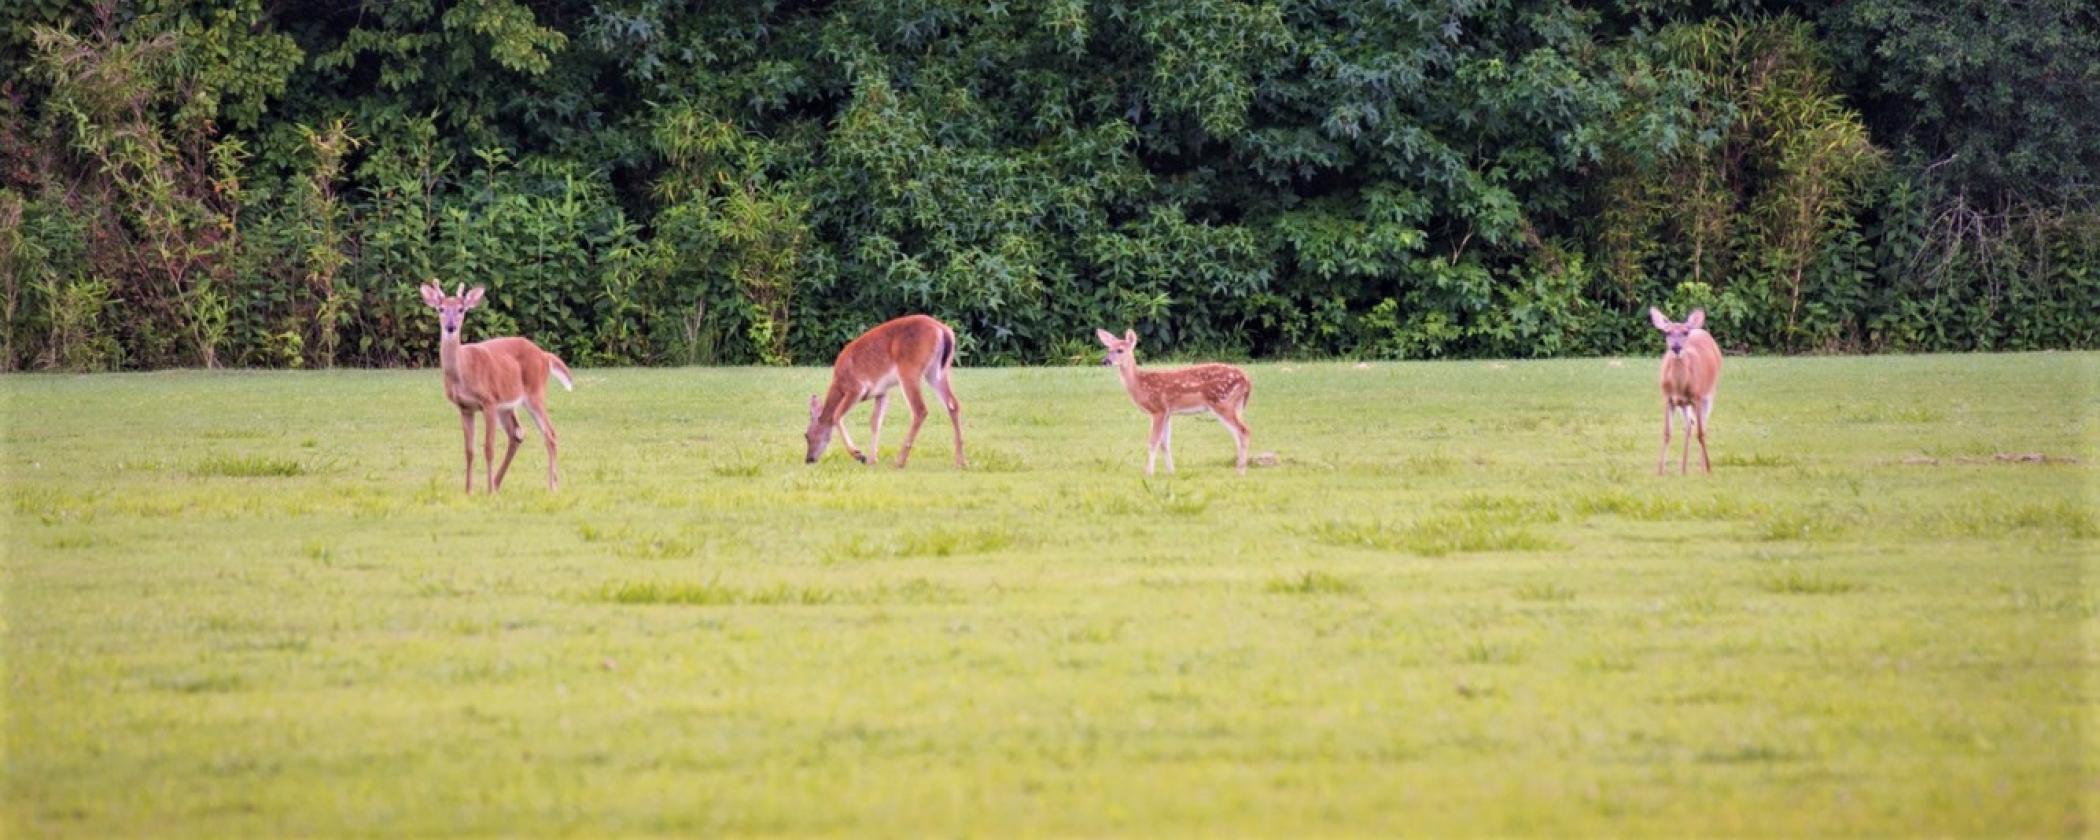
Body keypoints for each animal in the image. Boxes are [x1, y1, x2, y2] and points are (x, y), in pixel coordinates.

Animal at [419, 282, 573, 493]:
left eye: (461, 309)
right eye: (441, 309)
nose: (450, 327)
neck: (463, 371)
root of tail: (544, 354)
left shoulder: (489, 401)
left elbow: (489, 448)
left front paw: (488, 492)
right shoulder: (465, 407)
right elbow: (469, 451)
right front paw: (468, 491)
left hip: (535, 392)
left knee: (550, 433)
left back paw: (552, 487)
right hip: (507, 406)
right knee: (517, 434)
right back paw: (497, 483)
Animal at [805, 314, 965, 468]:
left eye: (806, 435)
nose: (809, 459)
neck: (839, 385)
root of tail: (943, 330)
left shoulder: (856, 388)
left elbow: (836, 415)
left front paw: (859, 455)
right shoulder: (882, 392)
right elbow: (875, 421)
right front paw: (872, 459)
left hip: (910, 370)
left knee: (920, 409)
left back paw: (900, 461)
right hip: (938, 371)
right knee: (952, 404)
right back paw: (961, 461)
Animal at [1095, 328, 1252, 476]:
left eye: (1120, 350)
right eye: (1108, 349)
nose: (1105, 361)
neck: (1140, 384)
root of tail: (1246, 379)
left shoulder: (1158, 409)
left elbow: (1153, 441)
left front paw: (1148, 473)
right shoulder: (1168, 412)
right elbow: (1165, 444)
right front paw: (1171, 472)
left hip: (1222, 402)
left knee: (1244, 431)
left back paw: (1241, 472)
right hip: (1234, 406)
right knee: (1238, 434)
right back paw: (1239, 468)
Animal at [1649, 307, 1723, 475]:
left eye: (1685, 332)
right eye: (1667, 332)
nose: (1676, 348)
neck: (1679, 386)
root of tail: (1700, 330)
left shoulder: (1697, 397)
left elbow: (1700, 433)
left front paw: (1708, 469)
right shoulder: (1668, 398)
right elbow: (1667, 433)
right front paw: (1660, 471)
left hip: (1709, 393)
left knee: (1701, 427)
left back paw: (1700, 467)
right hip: (1684, 405)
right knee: (1689, 426)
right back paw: (1683, 469)